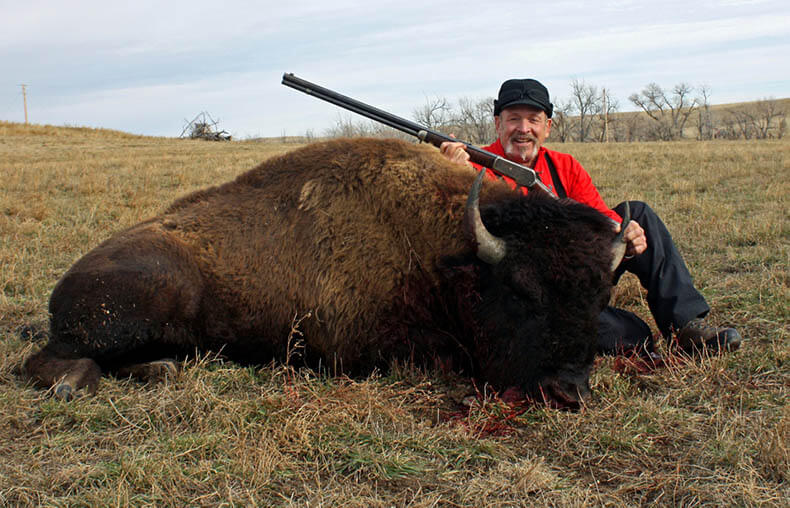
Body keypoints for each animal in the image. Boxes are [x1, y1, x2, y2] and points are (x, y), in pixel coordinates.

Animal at [23, 138, 627, 407]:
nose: (570, 389)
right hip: (137, 303)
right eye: (523, 290)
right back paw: (81, 383)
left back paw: (162, 369)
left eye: (599, 298)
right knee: (45, 362)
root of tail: (61, 289)